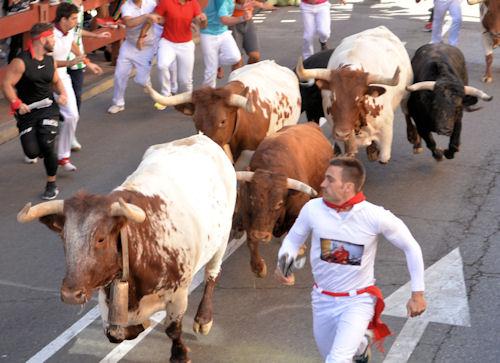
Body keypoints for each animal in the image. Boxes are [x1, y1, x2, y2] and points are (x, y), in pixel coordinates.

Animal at [18, 135, 237, 362]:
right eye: (63, 237)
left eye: (101, 239)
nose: (71, 294)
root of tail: (200, 137)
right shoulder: (106, 297)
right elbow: (115, 333)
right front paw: (138, 327)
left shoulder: (178, 295)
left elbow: (172, 329)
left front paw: (179, 354)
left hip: (222, 236)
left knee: (212, 275)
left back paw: (203, 319)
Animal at [233, 123, 332, 278]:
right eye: (252, 199)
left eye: (279, 203)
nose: (261, 235)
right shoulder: (247, 213)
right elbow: (251, 241)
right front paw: (258, 267)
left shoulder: (295, 215)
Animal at [294, 27, 412, 165]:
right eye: (332, 97)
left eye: (359, 99)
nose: (341, 133)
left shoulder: (385, 131)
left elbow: (383, 157)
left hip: (406, 96)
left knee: (407, 112)